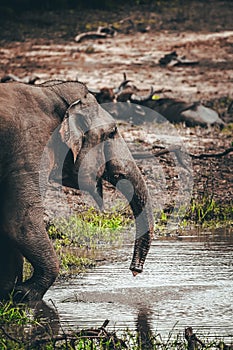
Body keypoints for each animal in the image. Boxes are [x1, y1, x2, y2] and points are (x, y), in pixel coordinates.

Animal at [0, 80, 155, 302]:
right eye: (112, 132)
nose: (135, 271)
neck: (51, 92)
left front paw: (12, 293)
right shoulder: (29, 149)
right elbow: (19, 219)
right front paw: (24, 293)